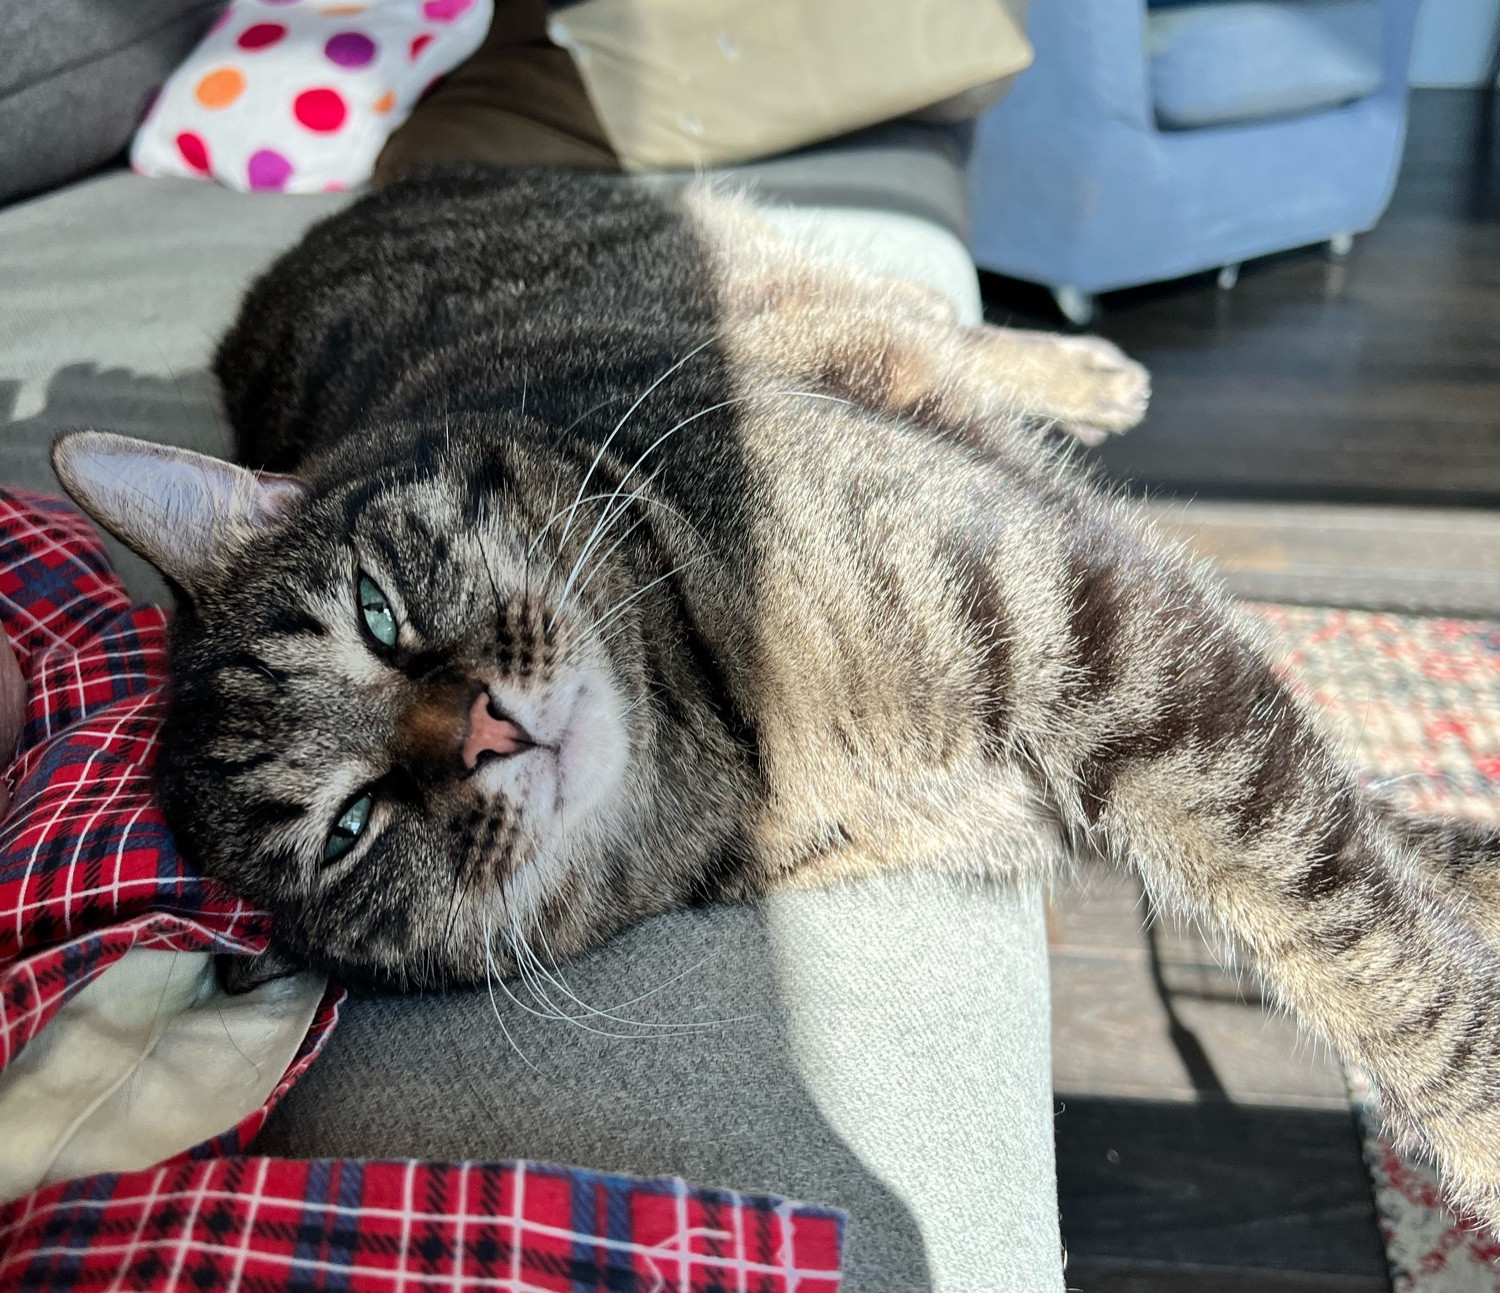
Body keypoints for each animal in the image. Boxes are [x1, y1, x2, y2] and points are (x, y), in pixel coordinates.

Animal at [52, 172, 1500, 1236]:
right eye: (350, 829)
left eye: (376, 612)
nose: (482, 731)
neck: (737, 729)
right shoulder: (1075, 750)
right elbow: (1363, 879)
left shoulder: (1086, 620)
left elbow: (1366, 936)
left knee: (932, 320)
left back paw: (1083, 373)